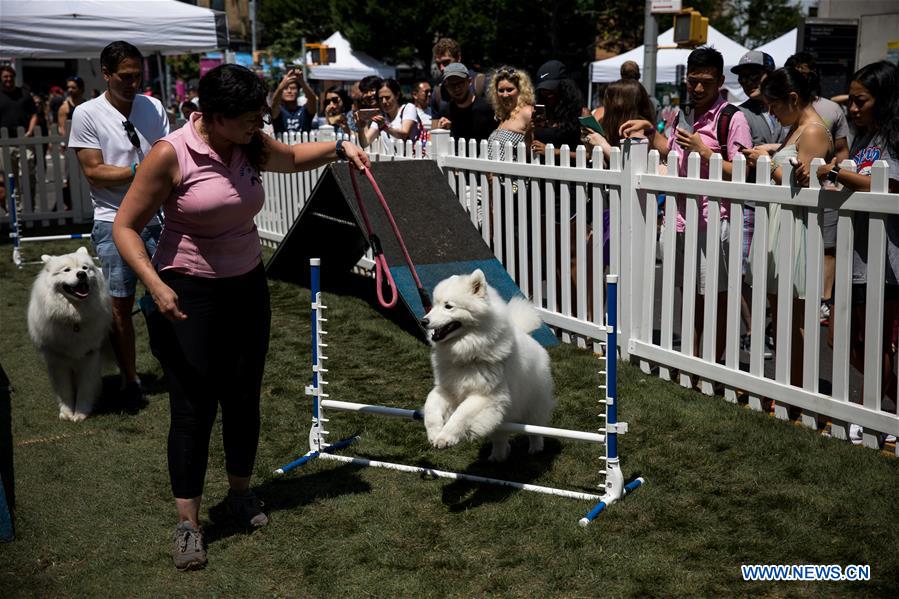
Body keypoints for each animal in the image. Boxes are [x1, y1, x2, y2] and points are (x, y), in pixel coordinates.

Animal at [27, 247, 113, 422]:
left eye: (85, 268)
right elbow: (65, 391)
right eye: (66, 270)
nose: (81, 274)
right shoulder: (57, 361)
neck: (74, 318)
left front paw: (80, 413)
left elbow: (85, 387)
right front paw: (67, 412)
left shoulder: (89, 356)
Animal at [422, 270, 556, 462]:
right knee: (500, 438)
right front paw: (434, 433)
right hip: (501, 418)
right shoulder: (448, 389)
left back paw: (535, 448)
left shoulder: (486, 396)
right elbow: (430, 405)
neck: (466, 353)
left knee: (535, 429)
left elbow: (460, 414)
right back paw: (497, 457)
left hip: (533, 404)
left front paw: (446, 437)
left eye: (448, 306)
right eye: (433, 305)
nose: (423, 321)